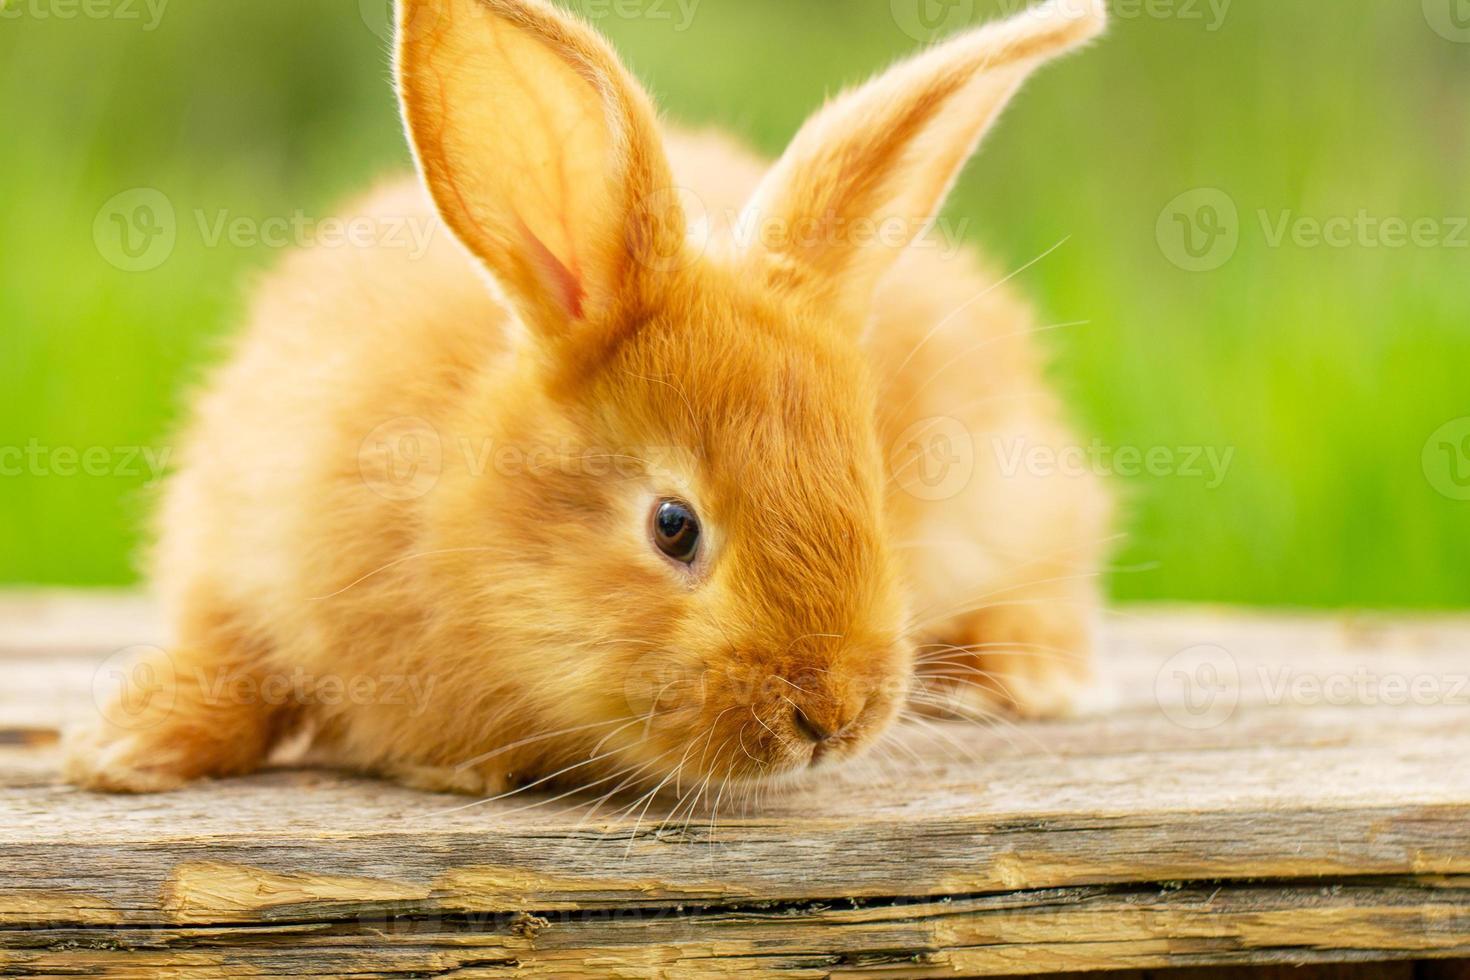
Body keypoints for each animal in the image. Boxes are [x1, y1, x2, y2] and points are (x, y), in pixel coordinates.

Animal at [63, 0, 1105, 799]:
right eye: (673, 526)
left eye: (878, 497)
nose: (832, 716)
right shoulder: (238, 543)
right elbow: (233, 662)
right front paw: (124, 752)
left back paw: (1029, 676)